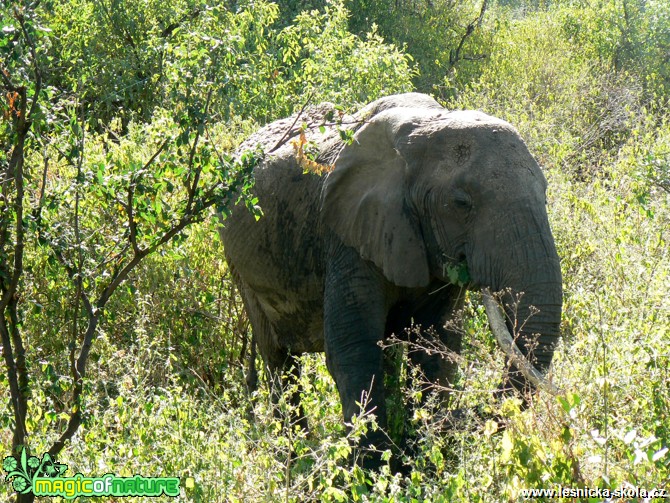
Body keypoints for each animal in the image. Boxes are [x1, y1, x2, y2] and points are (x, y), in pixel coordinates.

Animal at [219, 92, 560, 470]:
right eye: (461, 203)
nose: (460, 423)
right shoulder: (347, 237)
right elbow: (353, 348)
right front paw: (373, 470)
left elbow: (436, 347)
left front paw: (420, 460)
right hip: (240, 265)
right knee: (278, 359)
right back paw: (296, 459)